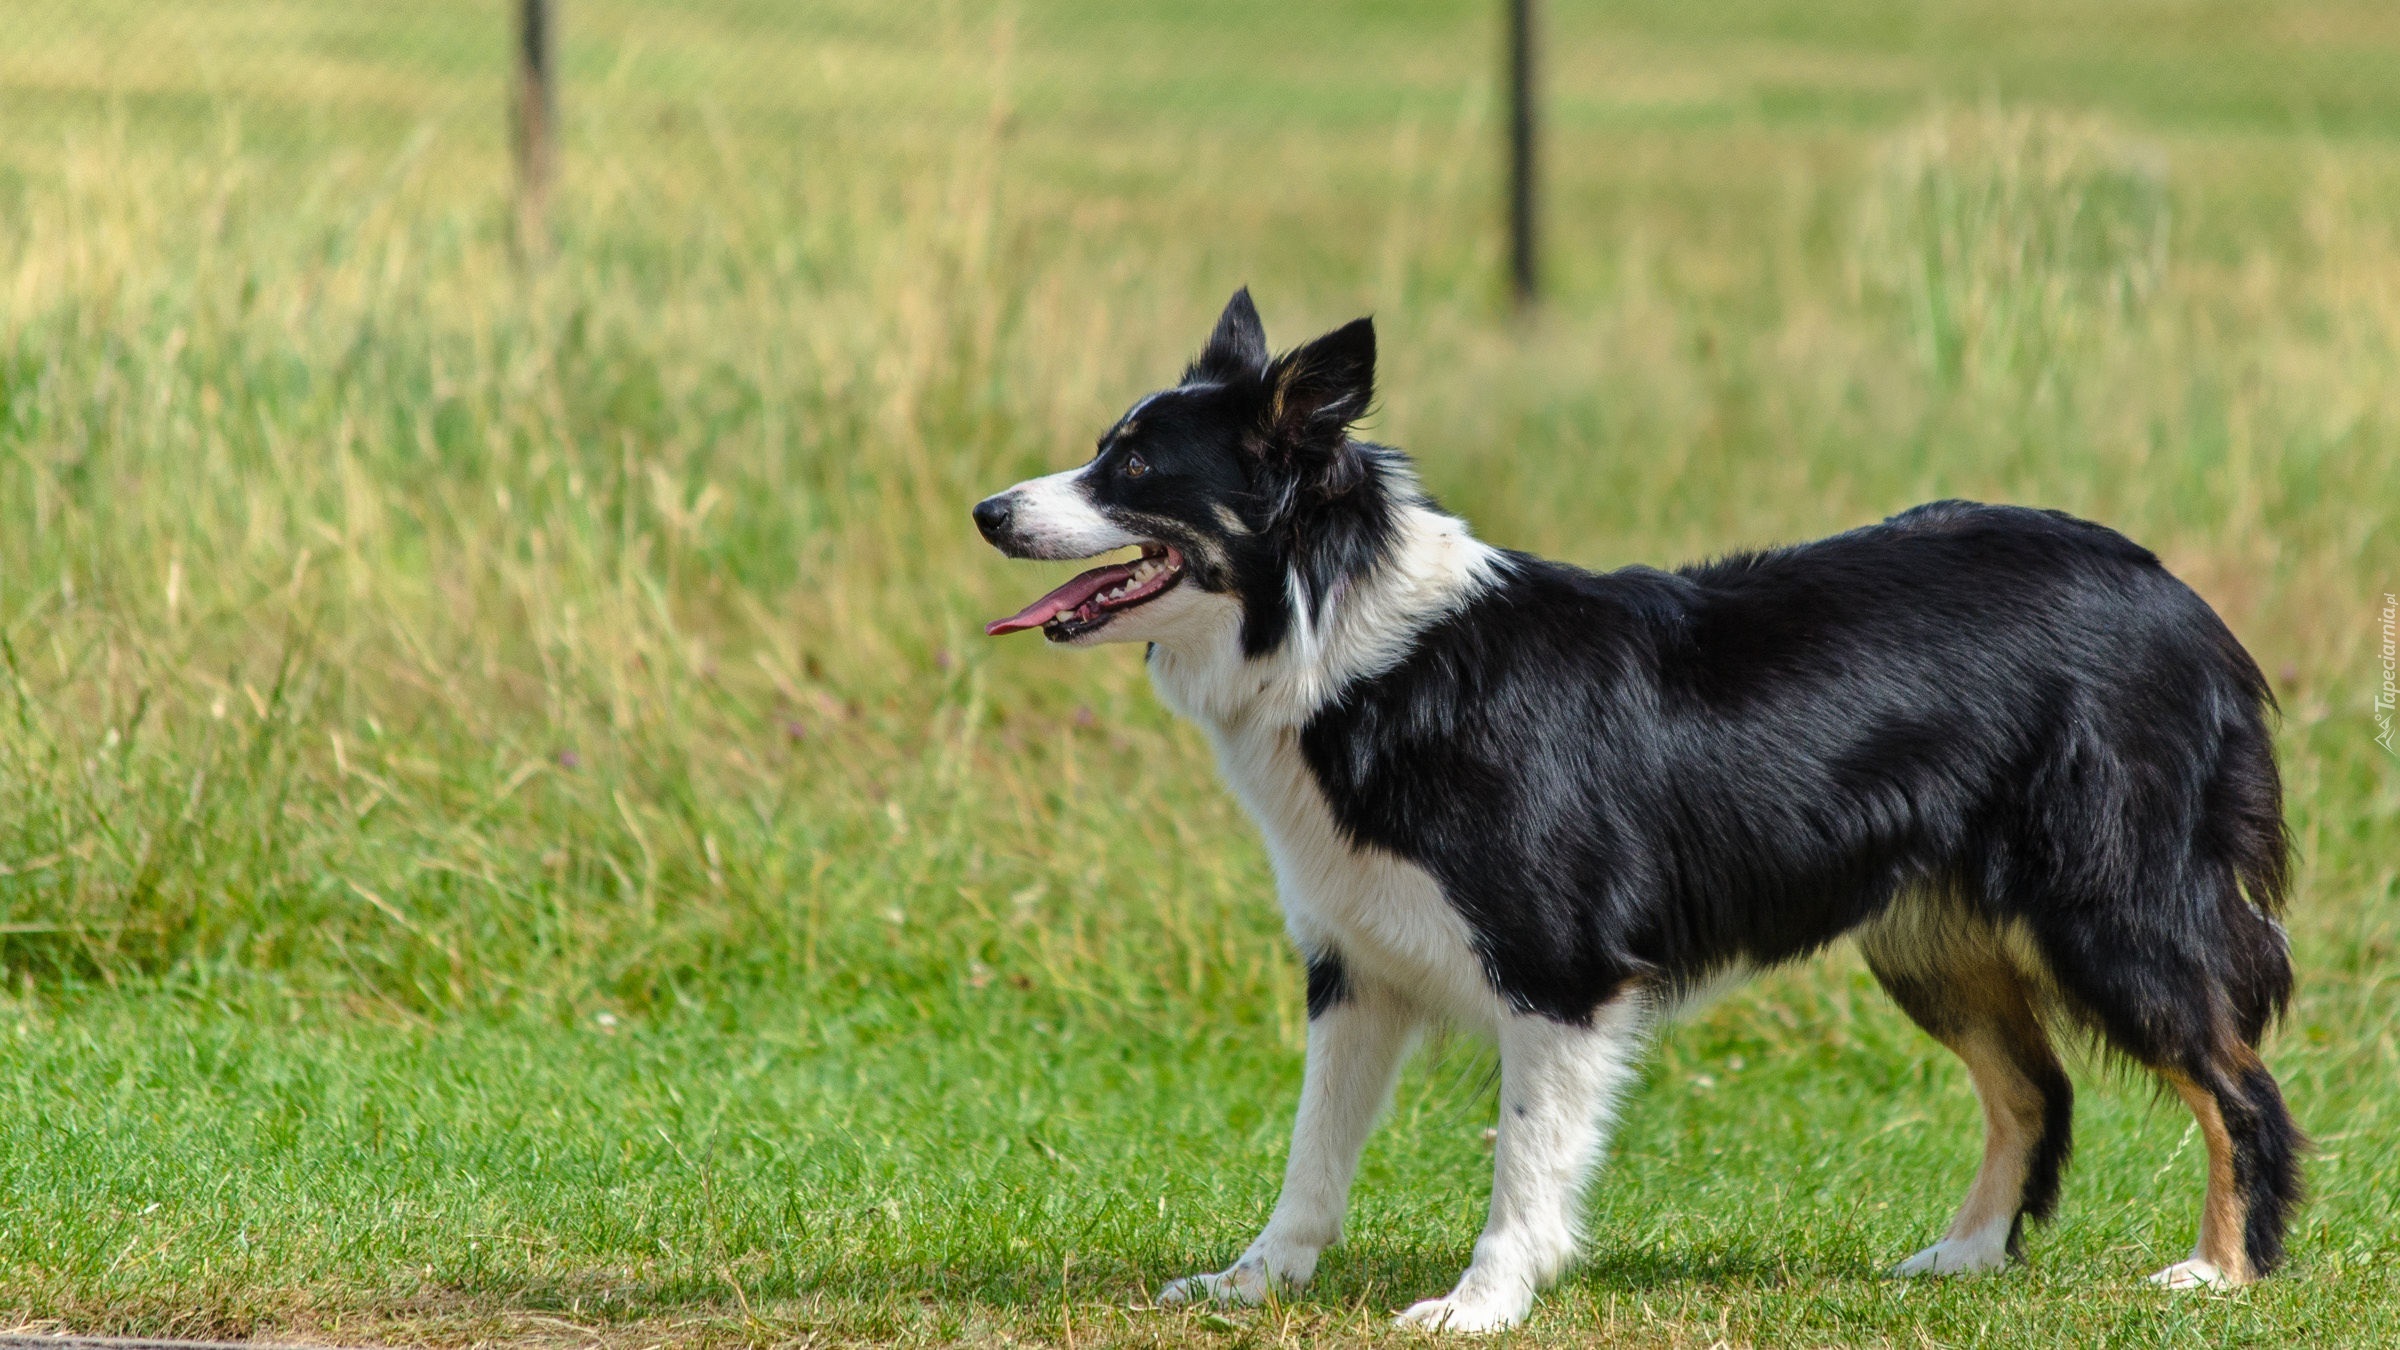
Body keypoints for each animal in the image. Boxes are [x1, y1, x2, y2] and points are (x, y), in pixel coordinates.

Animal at [974, 289, 2304, 1316]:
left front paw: (1480, 1304)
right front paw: (1254, 1283)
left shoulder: (1557, 972)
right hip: (1927, 935)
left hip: (2110, 907)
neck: (1340, 639)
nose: (987, 511)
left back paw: (2221, 1272)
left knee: (2237, 1084)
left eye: (1135, 470)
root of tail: (2171, 589)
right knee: (2036, 1089)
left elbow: (1524, 1165)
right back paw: (1965, 1256)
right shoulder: (1355, 966)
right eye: (1104, 449)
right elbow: (1312, 1158)